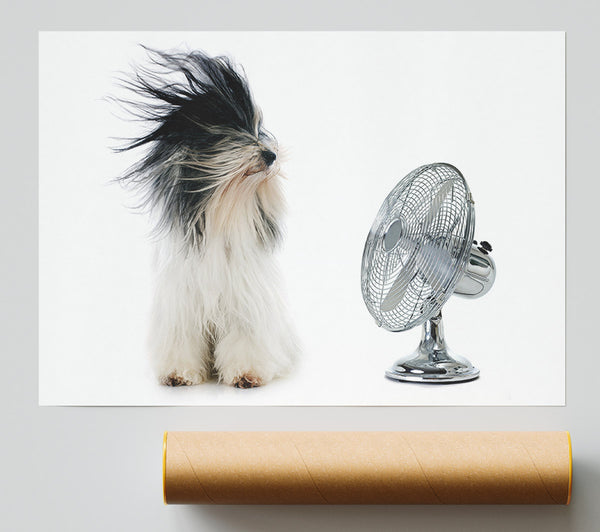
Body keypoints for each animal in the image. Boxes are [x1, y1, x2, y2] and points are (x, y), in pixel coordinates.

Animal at [115, 47, 298, 386]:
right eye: (234, 130)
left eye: (257, 129)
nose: (271, 155)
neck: (220, 213)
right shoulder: (180, 306)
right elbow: (182, 340)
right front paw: (177, 373)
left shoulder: (245, 306)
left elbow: (244, 340)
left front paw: (247, 373)